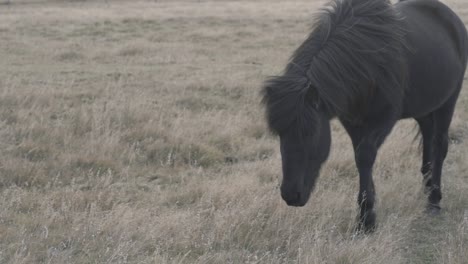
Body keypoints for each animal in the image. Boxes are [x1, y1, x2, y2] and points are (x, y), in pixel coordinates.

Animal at [262, 0, 468, 231]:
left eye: (310, 133)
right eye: (278, 133)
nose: (290, 195)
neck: (367, 62)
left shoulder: (384, 119)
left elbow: (365, 156)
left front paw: (366, 219)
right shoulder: (353, 122)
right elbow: (360, 159)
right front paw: (367, 211)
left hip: (447, 103)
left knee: (439, 145)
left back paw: (434, 201)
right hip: (424, 108)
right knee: (428, 139)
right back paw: (427, 186)